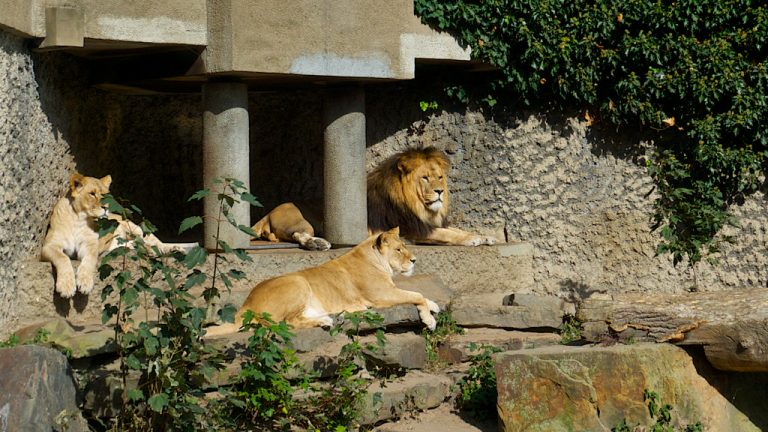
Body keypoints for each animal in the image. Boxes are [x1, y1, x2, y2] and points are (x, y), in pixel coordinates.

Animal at [204, 228, 440, 336]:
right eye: (399, 249)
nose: (414, 260)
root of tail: (246, 305)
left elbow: (419, 294)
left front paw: (434, 305)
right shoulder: (381, 295)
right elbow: (417, 295)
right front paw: (429, 319)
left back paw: (333, 316)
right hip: (297, 282)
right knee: (283, 323)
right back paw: (326, 321)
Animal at [249, 147, 496, 250]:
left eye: (440, 177)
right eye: (425, 178)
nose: (439, 192)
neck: (418, 206)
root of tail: (267, 214)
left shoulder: (425, 223)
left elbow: (455, 230)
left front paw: (484, 236)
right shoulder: (414, 230)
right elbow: (448, 234)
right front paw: (473, 239)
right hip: (301, 221)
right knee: (299, 236)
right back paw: (319, 244)